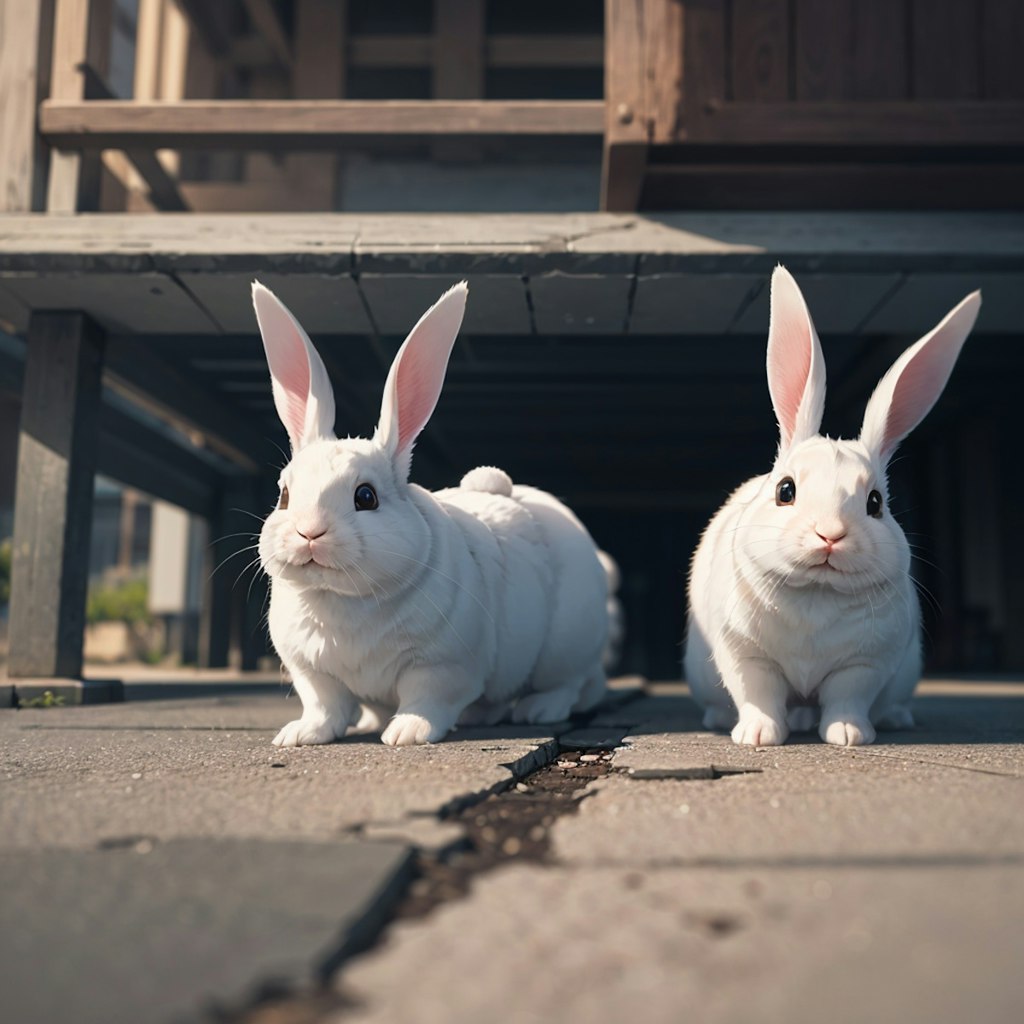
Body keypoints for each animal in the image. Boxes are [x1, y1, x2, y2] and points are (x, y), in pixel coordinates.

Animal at [253, 284, 606, 749]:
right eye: (284, 495)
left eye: (366, 497)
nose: (309, 532)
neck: (344, 599)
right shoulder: (312, 671)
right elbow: (325, 706)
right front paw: (299, 736)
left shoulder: (441, 665)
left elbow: (426, 700)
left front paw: (406, 734)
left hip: (565, 648)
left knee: (566, 684)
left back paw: (537, 711)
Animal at [684, 268, 978, 749]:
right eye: (785, 490)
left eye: (875, 503)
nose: (830, 534)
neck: (817, 593)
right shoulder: (745, 654)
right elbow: (759, 695)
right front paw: (758, 736)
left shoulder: (864, 665)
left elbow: (847, 699)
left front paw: (848, 736)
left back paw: (894, 718)